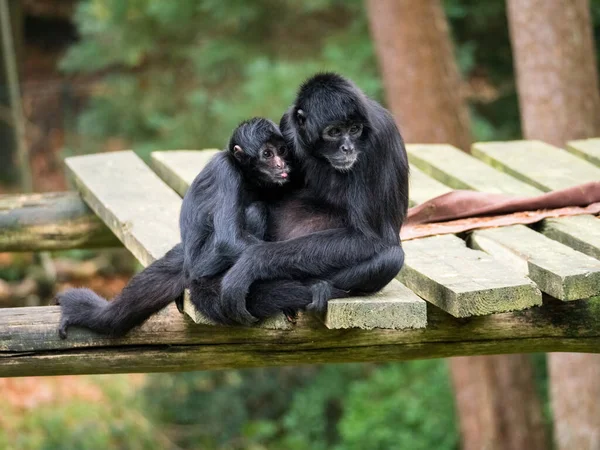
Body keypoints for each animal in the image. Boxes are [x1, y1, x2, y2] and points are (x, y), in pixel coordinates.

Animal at [57, 118, 310, 336]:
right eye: (267, 154)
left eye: (282, 150)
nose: (281, 163)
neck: (246, 175)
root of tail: (188, 262)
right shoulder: (225, 171)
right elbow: (228, 240)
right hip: (203, 262)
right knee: (255, 211)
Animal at [218, 73, 410, 324]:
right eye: (334, 132)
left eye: (355, 129)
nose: (348, 148)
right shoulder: (287, 124)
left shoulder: (378, 141)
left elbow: (370, 238)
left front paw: (252, 262)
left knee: (391, 257)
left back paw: (316, 286)